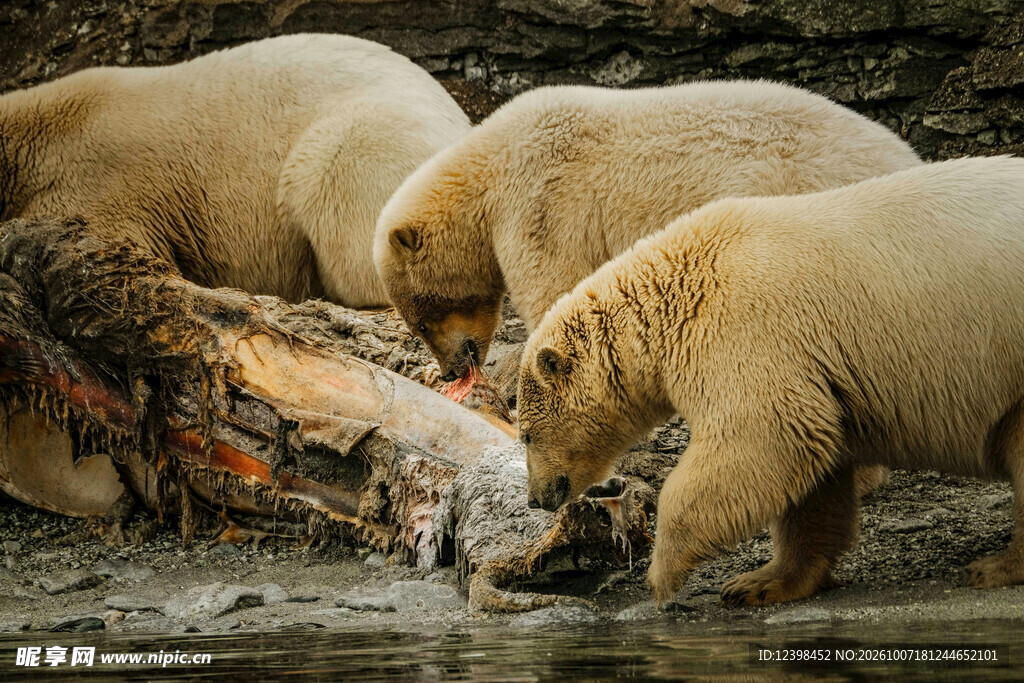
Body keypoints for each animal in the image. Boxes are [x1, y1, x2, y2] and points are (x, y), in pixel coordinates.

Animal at [374, 80, 921, 382]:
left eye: (421, 322)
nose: (452, 370)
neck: (489, 164)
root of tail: (907, 160)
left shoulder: (539, 202)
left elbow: (553, 290)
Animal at [516, 155, 1024, 606]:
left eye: (526, 434)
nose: (537, 498)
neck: (671, 294)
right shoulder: (817, 369)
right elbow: (814, 469)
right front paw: (760, 583)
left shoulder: (744, 329)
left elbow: (761, 436)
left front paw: (663, 575)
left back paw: (994, 566)